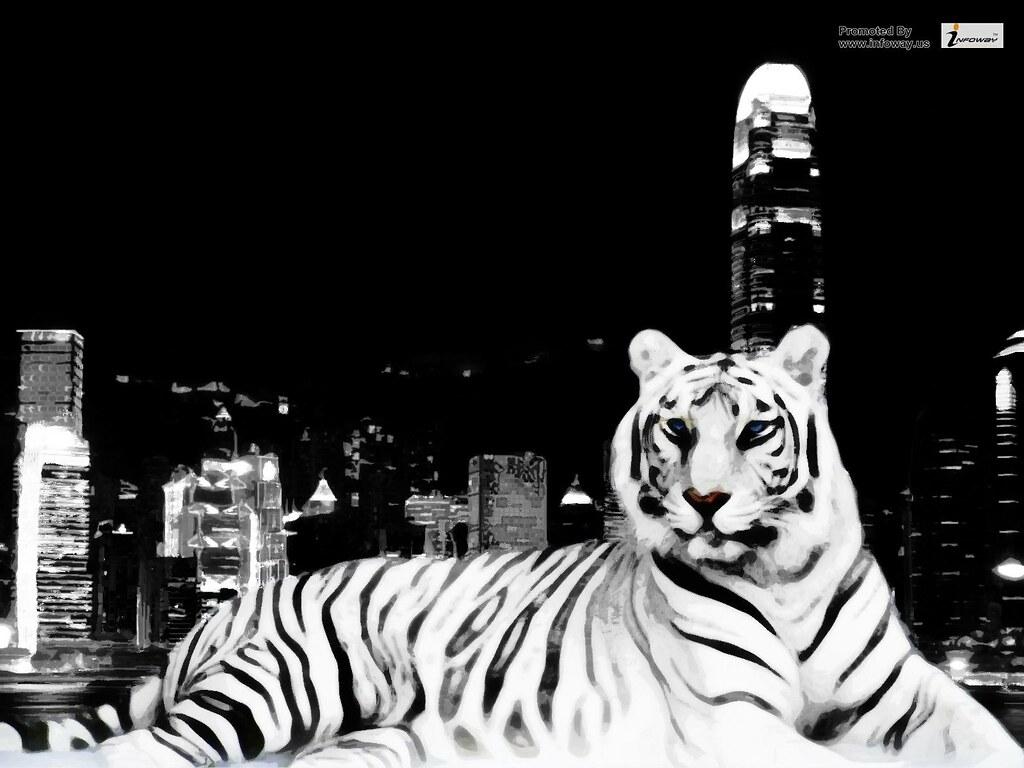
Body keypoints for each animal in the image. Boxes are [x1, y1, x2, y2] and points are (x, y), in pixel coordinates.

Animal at [1, 325, 1020, 767]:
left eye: (755, 430)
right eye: (677, 430)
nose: (704, 502)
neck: (782, 573)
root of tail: (235, 603)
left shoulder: (913, 693)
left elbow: (987, 738)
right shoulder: (731, 720)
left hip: (381, 742)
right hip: (287, 683)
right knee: (136, 755)